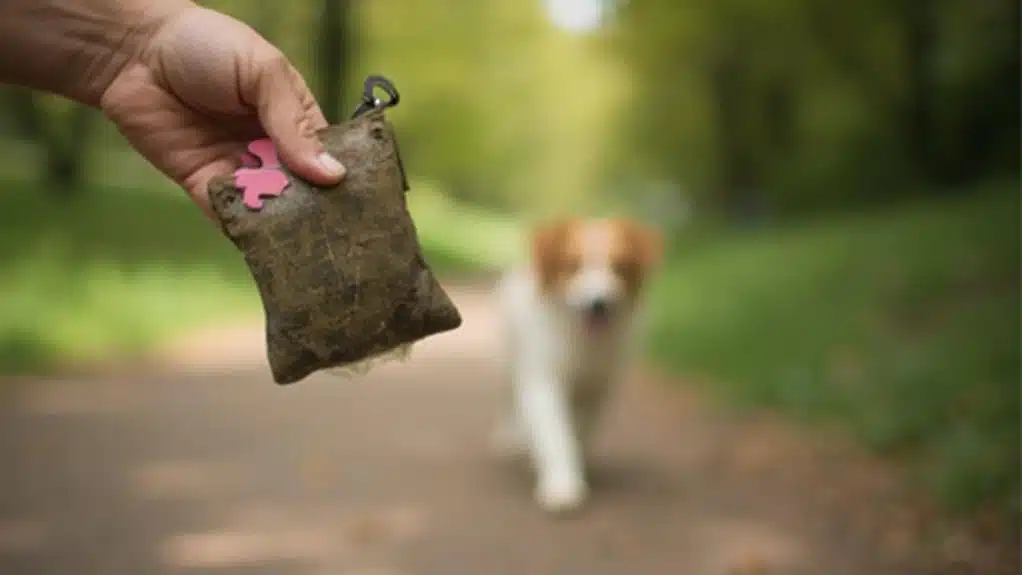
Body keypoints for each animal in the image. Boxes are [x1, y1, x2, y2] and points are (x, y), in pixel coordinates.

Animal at [492, 218, 662, 514]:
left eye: (619, 267)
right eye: (573, 266)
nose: (599, 304)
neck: (582, 343)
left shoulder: (598, 388)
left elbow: (581, 429)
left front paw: (577, 459)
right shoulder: (543, 379)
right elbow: (555, 433)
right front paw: (562, 485)